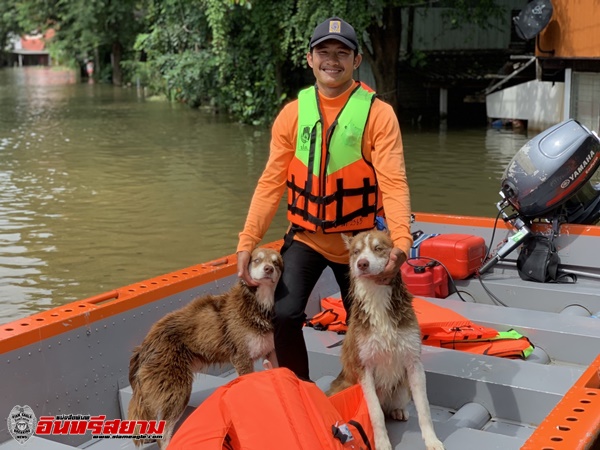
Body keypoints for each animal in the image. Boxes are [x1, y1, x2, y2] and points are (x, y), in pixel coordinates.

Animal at [126, 248, 284, 448]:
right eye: (257, 260)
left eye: (276, 263)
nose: (268, 269)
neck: (258, 304)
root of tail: (145, 344)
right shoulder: (242, 358)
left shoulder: (271, 351)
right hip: (178, 390)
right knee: (164, 435)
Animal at [326, 230, 442, 450]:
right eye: (356, 252)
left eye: (378, 248)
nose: (362, 263)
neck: (377, 300)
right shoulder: (364, 368)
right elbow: (376, 413)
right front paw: (381, 443)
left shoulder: (414, 363)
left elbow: (424, 409)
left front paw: (432, 440)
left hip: (401, 387)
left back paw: (398, 410)